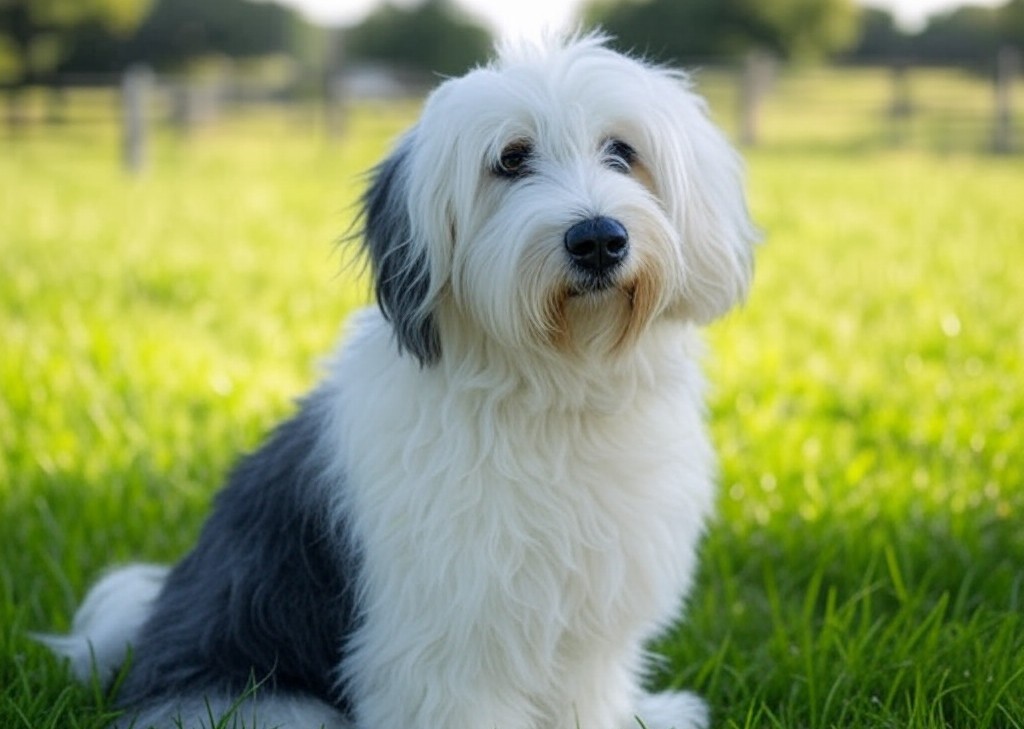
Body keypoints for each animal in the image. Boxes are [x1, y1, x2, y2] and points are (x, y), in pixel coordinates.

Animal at [37, 34, 761, 729]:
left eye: (621, 150)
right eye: (511, 160)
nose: (598, 240)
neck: (555, 386)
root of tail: (144, 648)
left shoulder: (589, 621)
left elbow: (589, 694)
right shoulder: (447, 642)